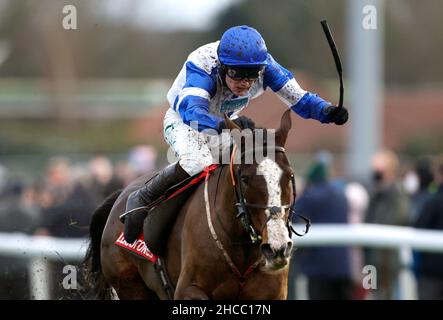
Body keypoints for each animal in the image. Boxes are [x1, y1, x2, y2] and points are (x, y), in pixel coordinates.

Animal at [84, 110, 300, 300]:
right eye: (245, 179)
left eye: (290, 175)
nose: (277, 248)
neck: (241, 246)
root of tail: (121, 196)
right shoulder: (187, 289)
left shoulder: (271, 293)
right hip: (131, 287)